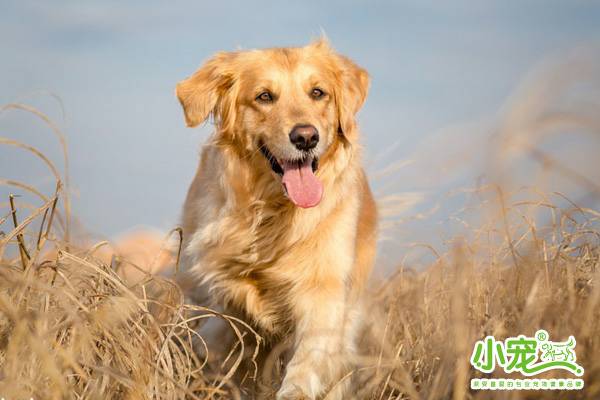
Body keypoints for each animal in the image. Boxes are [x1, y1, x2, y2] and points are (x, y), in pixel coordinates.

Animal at [176, 39, 378, 400]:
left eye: (318, 92)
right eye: (264, 96)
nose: (306, 137)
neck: (271, 212)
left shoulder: (324, 290)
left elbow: (308, 359)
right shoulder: (212, 290)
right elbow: (215, 338)